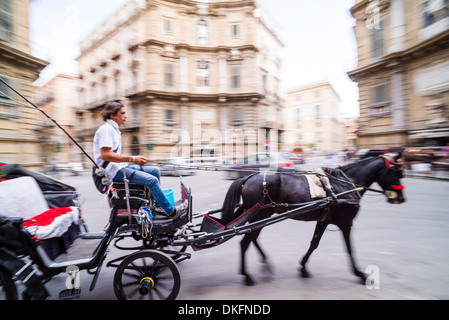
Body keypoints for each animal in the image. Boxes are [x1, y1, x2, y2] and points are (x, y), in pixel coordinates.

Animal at [220, 154, 406, 284]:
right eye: (397, 173)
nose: (401, 199)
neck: (346, 185)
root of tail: (247, 178)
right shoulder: (345, 223)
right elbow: (349, 249)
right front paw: (360, 274)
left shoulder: (323, 220)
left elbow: (314, 244)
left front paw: (303, 267)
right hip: (260, 215)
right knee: (245, 243)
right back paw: (247, 275)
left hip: (260, 217)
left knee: (253, 239)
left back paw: (265, 264)